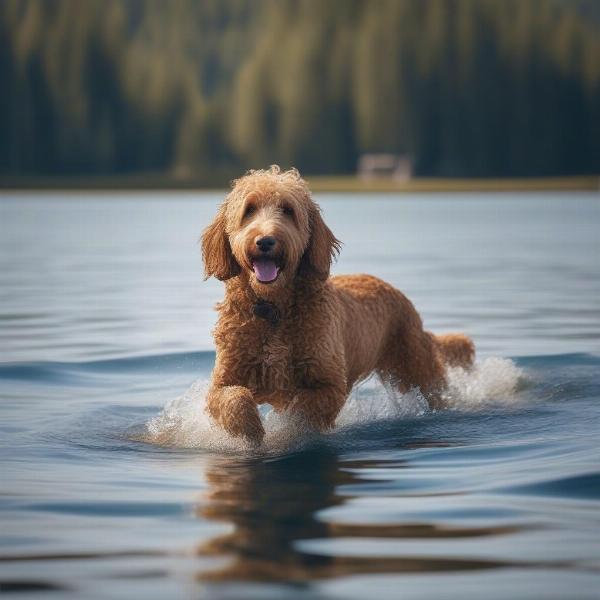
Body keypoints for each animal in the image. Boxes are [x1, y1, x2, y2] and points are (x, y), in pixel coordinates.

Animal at [202, 166, 474, 442]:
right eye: (249, 210)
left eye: (288, 210)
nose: (265, 241)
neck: (273, 309)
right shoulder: (225, 379)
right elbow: (233, 399)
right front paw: (251, 431)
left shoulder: (329, 385)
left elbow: (301, 408)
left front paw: (285, 432)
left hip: (419, 370)